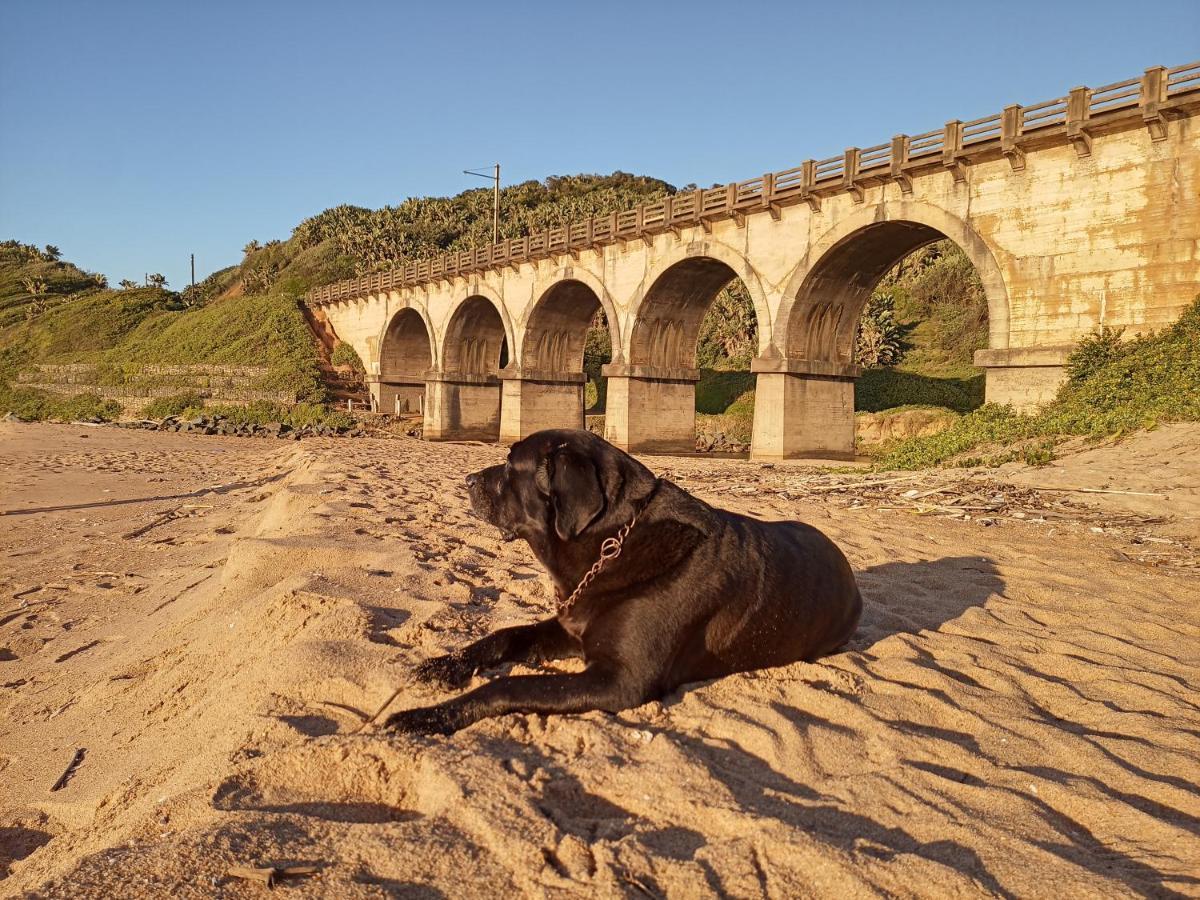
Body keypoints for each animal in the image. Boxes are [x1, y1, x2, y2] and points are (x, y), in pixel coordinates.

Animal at [386, 427, 864, 734]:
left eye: (510, 465)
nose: (467, 479)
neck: (608, 543)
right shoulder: (570, 627)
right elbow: (503, 636)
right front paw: (443, 666)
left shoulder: (620, 679)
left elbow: (508, 685)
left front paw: (426, 716)